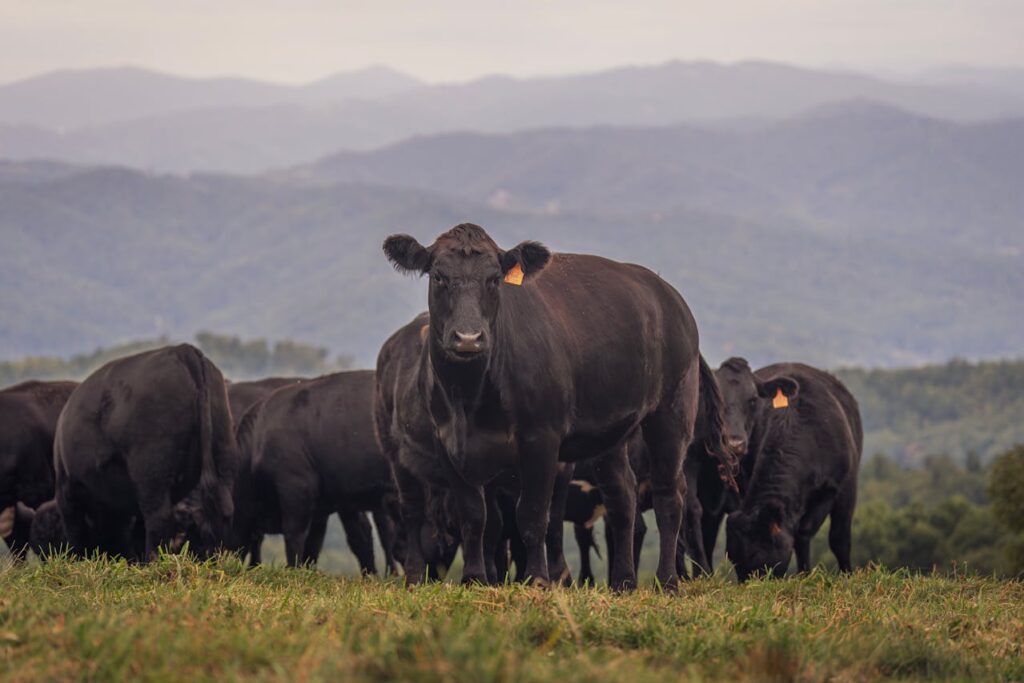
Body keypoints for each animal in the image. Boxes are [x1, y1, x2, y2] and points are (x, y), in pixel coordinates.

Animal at [28, 345, 237, 560]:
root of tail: (182, 350)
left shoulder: (67, 491)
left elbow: (76, 533)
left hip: (151, 475)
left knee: (158, 517)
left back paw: (153, 560)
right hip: (222, 457)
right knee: (223, 508)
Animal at [379, 223, 734, 589]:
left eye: (493, 279)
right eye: (439, 276)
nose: (468, 338)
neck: (470, 398)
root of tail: (668, 295)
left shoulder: (541, 439)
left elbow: (534, 514)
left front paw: (538, 579)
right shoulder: (447, 443)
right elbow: (474, 516)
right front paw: (475, 578)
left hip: (671, 413)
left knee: (670, 496)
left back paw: (668, 582)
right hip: (612, 433)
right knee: (623, 496)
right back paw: (623, 582)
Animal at [720, 359, 862, 581]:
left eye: (759, 557)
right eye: (734, 559)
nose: (750, 584)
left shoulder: (846, 486)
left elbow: (839, 539)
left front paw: (847, 576)